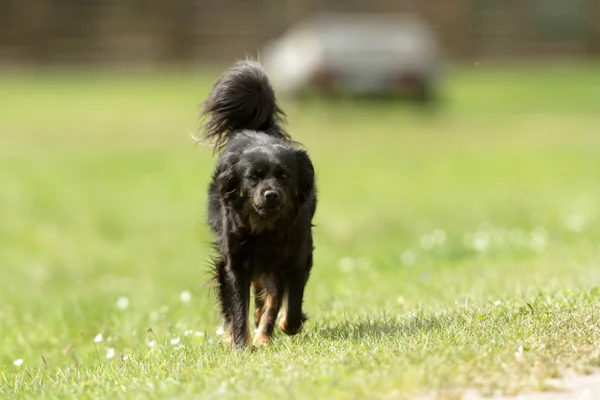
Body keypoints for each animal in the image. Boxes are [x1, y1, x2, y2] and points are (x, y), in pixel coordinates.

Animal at [199, 60, 316, 350]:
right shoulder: (235, 261)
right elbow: (238, 305)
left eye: (284, 176)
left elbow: (289, 303)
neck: (266, 229)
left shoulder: (297, 257)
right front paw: (241, 344)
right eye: (253, 177)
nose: (271, 194)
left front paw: (284, 326)